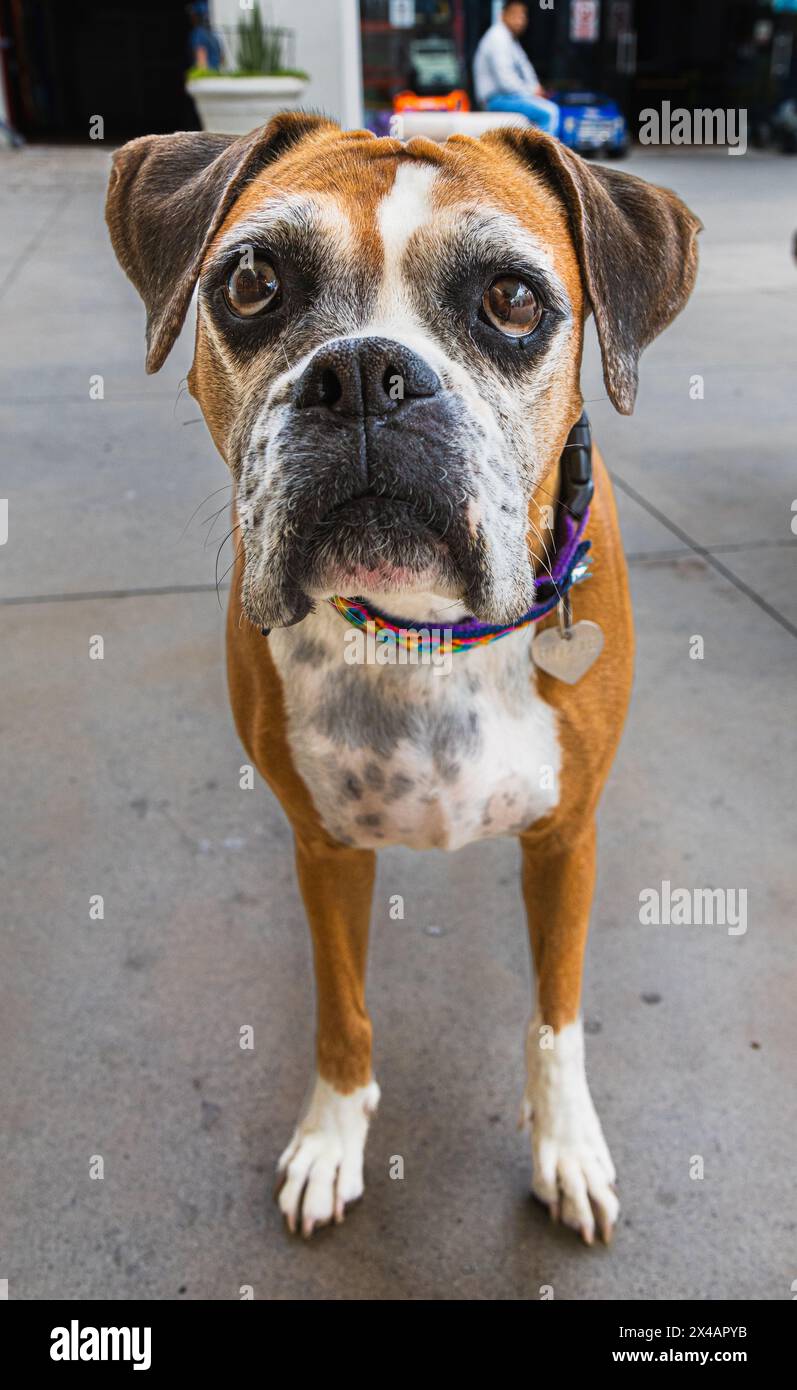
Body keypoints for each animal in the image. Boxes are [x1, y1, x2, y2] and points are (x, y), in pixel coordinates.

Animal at [105, 113, 695, 1245]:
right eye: (253, 282)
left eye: (511, 300)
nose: (365, 374)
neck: (423, 633)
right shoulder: (325, 849)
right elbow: (342, 1010)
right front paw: (331, 1138)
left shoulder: (566, 839)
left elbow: (554, 1016)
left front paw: (565, 1146)